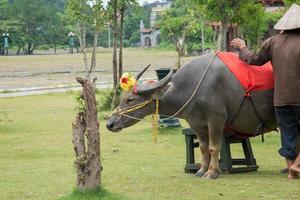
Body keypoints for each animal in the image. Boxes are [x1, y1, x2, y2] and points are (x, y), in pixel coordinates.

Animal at [105, 53, 276, 180]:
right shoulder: (196, 123)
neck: (193, 86)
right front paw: (201, 171)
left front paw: (212, 173)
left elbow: (214, 147)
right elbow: (203, 148)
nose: (110, 124)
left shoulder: (216, 119)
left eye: (130, 99)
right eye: (122, 98)